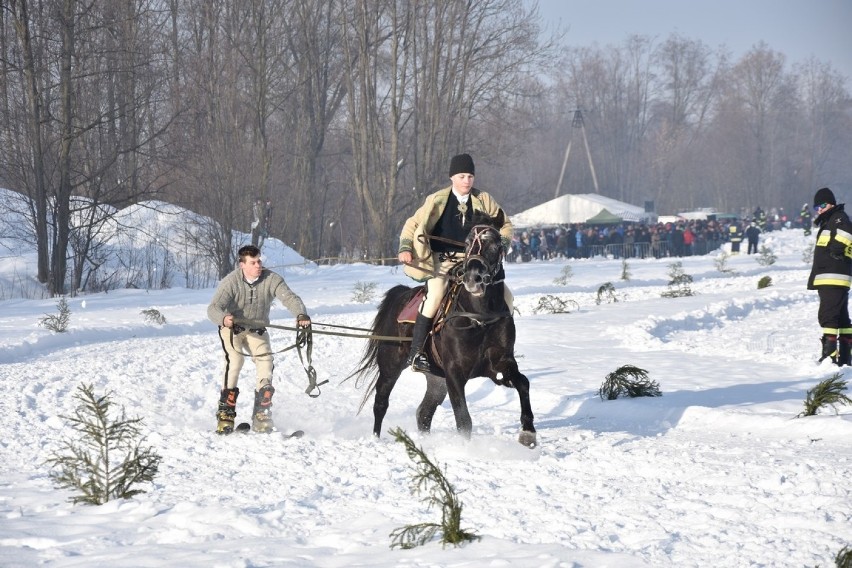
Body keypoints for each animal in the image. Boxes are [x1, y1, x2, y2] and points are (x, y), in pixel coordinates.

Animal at [350, 211, 536, 446]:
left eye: (495, 245)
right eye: (467, 243)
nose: (473, 278)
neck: (480, 317)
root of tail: (401, 295)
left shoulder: (500, 364)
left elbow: (523, 383)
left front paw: (528, 431)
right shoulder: (454, 373)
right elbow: (463, 419)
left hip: (435, 379)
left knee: (424, 412)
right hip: (391, 366)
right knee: (381, 402)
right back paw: (375, 438)